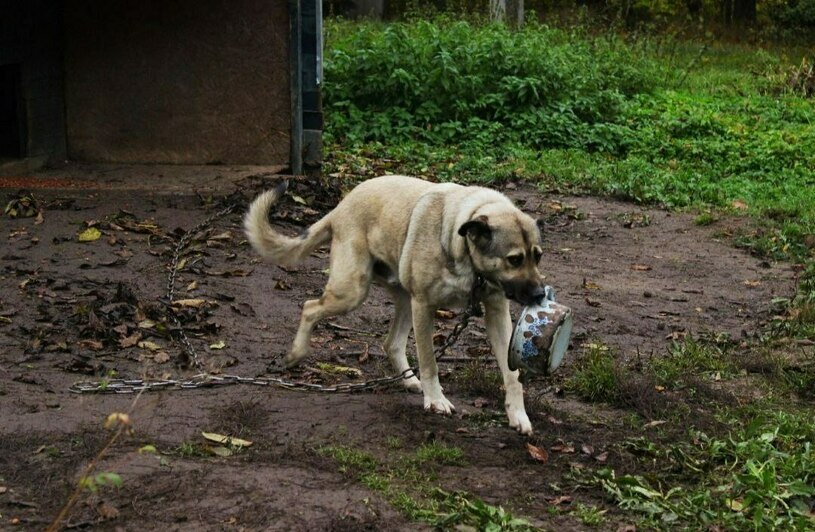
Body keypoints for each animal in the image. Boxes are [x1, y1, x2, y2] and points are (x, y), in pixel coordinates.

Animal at [245, 177, 544, 434]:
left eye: (538, 257)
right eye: (514, 259)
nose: (540, 294)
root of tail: (341, 205)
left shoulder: (497, 313)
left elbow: (512, 375)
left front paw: (518, 414)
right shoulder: (424, 305)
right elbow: (429, 362)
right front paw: (436, 400)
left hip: (402, 299)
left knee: (391, 343)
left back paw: (410, 380)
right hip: (353, 291)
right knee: (309, 307)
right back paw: (296, 354)